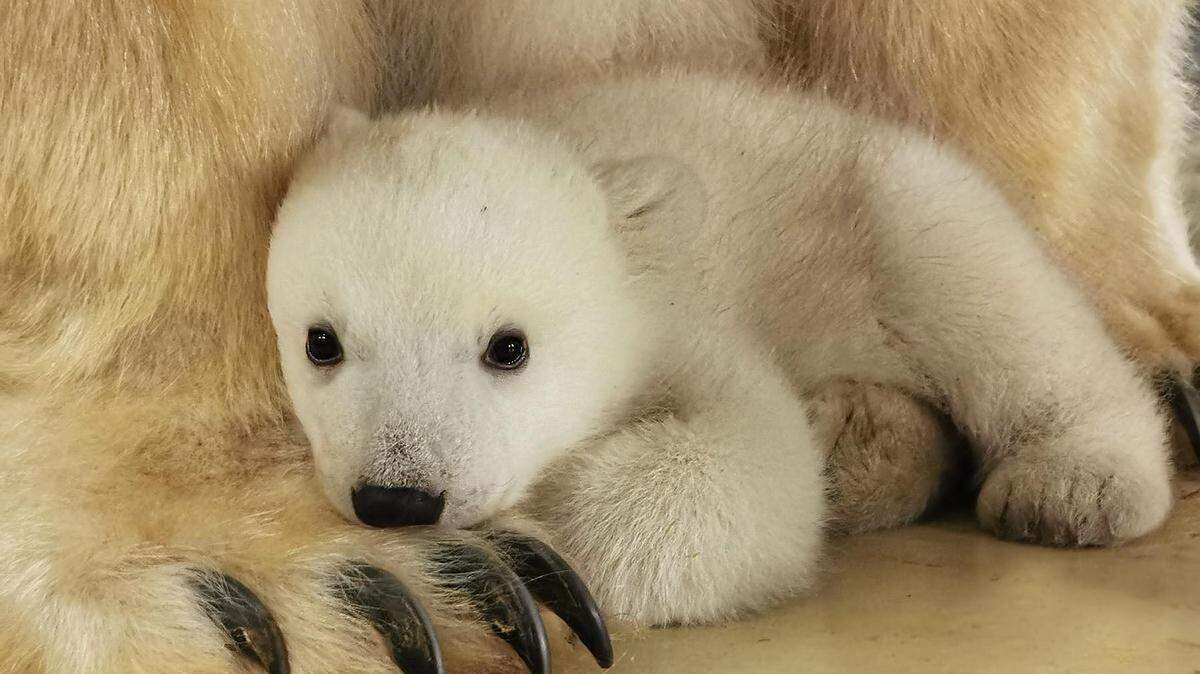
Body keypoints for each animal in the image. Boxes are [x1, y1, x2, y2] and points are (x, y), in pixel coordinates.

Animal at [266, 69, 1174, 628]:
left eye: (508, 347)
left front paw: (549, 524)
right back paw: (865, 440)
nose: (398, 498)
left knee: (992, 295)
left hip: (888, 202)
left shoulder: (679, 311)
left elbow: (757, 462)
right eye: (322, 342)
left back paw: (1072, 487)